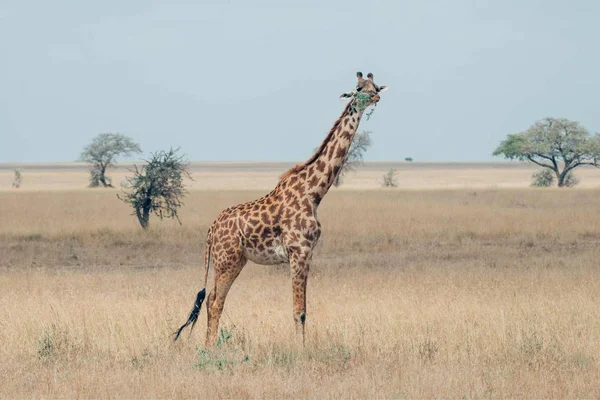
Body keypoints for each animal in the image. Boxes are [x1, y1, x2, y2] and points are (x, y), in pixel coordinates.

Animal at [175, 72, 390, 346]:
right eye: (358, 88)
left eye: (376, 86)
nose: (375, 97)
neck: (314, 192)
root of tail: (211, 230)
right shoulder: (299, 251)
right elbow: (300, 311)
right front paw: (301, 350)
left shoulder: (308, 254)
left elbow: (302, 309)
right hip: (226, 260)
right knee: (214, 302)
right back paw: (209, 349)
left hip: (237, 260)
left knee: (212, 299)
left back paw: (208, 347)